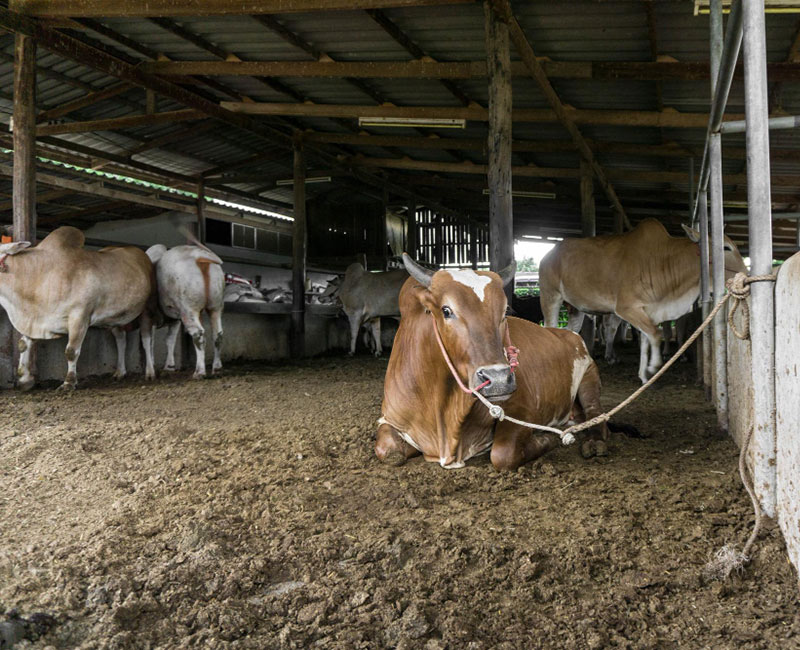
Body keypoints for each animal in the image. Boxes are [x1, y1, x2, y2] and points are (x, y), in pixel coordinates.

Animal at [0, 226, 157, 390]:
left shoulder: (80, 316)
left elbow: (71, 351)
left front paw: (69, 382)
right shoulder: (35, 319)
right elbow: (23, 345)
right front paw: (24, 380)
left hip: (148, 307)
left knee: (146, 338)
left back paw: (150, 372)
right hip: (115, 317)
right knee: (121, 339)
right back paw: (120, 372)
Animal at [146, 243, 224, 379]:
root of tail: (199, 255)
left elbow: (151, 341)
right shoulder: (175, 319)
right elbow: (170, 340)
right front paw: (169, 367)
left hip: (189, 309)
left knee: (198, 335)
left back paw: (199, 372)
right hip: (216, 306)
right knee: (217, 334)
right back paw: (217, 368)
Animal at [376, 254, 631, 471]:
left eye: (504, 310)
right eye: (446, 310)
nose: (498, 379)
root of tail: (567, 333)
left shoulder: (522, 411)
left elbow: (503, 453)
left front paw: (547, 438)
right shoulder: (388, 418)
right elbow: (387, 451)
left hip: (589, 376)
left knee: (596, 414)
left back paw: (594, 443)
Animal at [539, 219, 746, 383]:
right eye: (726, 247)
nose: (746, 271)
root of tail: (549, 254)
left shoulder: (649, 310)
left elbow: (646, 340)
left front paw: (644, 376)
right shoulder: (626, 308)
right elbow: (655, 334)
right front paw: (654, 367)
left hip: (575, 308)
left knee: (570, 331)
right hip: (550, 297)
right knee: (550, 328)